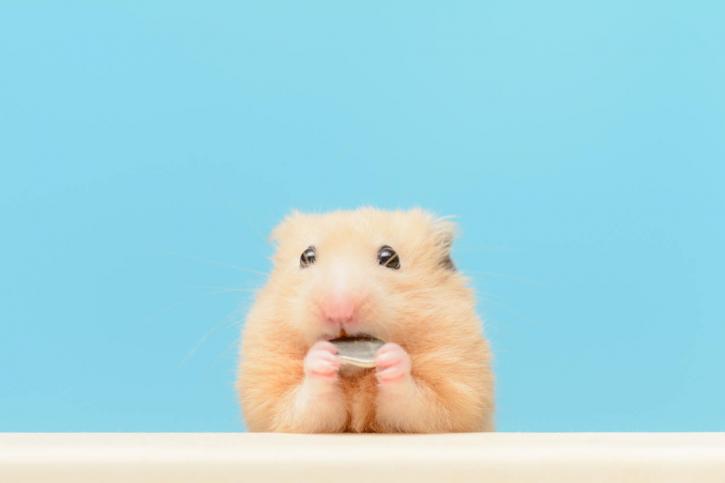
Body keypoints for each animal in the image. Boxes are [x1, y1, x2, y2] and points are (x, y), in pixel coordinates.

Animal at [236, 207, 494, 433]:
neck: (355, 374)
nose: (339, 309)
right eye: (306, 256)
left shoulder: (453, 398)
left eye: (390, 256)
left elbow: (416, 402)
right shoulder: (273, 403)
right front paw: (321, 356)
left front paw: (390, 356)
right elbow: (304, 406)